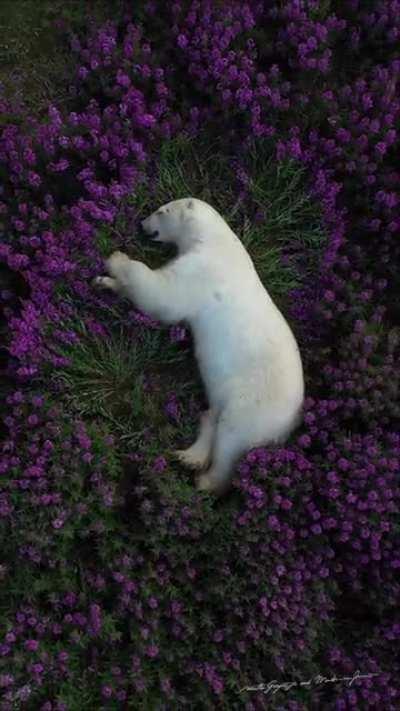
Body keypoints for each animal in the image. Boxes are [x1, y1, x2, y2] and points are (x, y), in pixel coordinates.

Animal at [93, 197, 304, 495]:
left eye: (162, 211)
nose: (142, 224)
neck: (217, 241)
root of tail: (291, 423)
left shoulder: (202, 271)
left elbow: (163, 294)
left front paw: (116, 259)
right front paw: (103, 282)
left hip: (254, 406)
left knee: (230, 440)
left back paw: (206, 480)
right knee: (212, 416)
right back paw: (189, 456)